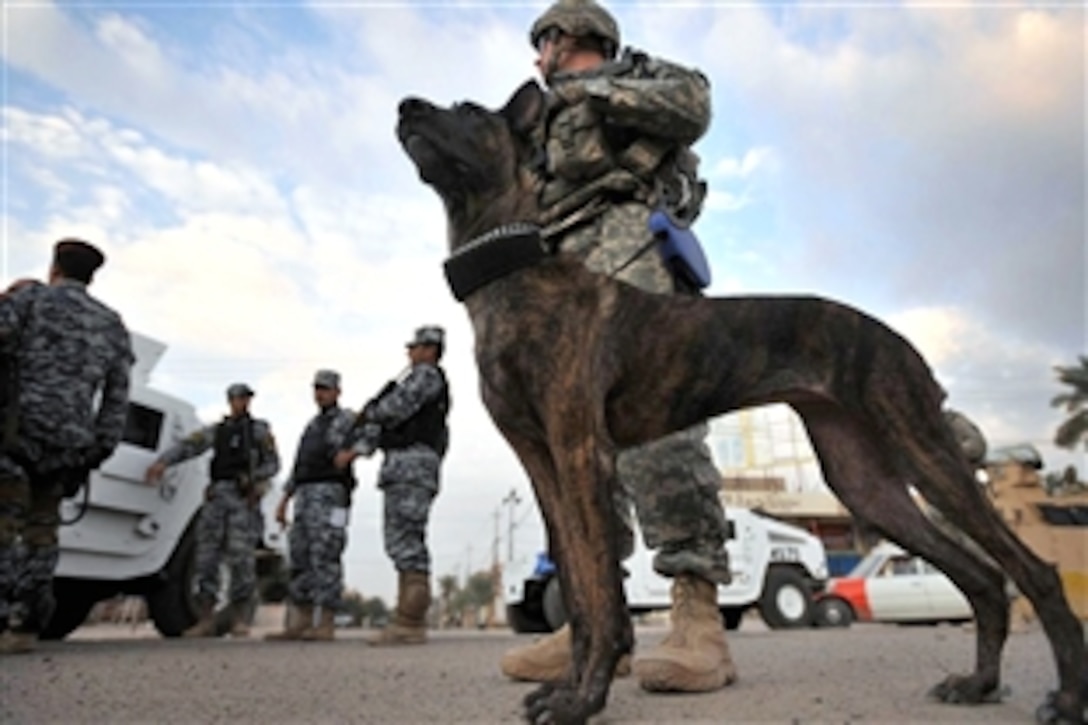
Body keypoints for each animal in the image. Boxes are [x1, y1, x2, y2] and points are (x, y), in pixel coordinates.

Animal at [398, 81, 1088, 718]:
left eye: (467, 110)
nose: (406, 106)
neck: (515, 276)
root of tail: (903, 345)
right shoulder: (544, 467)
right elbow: (581, 590)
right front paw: (568, 687)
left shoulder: (581, 453)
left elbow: (605, 597)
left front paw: (584, 700)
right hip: (866, 482)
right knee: (984, 578)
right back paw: (979, 684)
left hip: (924, 450)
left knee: (1032, 571)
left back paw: (1065, 696)